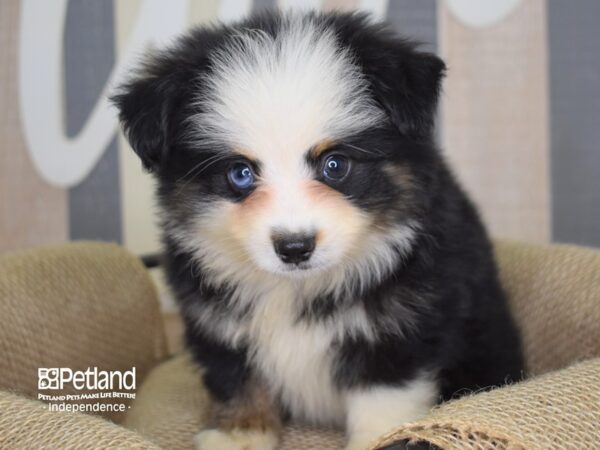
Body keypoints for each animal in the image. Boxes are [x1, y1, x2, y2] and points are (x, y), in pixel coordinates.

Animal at [111, 10, 520, 450]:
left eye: (335, 165)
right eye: (240, 173)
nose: (294, 247)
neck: (297, 288)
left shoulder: (400, 326)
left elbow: (382, 399)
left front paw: (376, 440)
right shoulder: (218, 324)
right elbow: (239, 378)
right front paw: (240, 435)